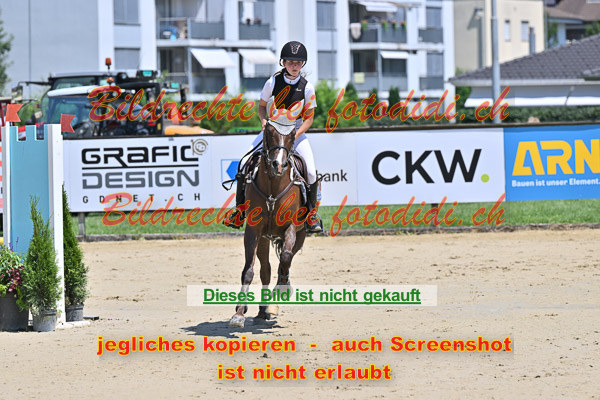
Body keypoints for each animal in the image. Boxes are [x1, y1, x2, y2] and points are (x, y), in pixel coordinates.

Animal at [228, 116, 311, 328]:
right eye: (269, 133)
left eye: (292, 135)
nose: (277, 165)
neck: (274, 186)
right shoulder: (253, 231)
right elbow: (248, 271)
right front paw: (239, 313)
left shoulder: (291, 227)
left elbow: (286, 258)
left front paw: (282, 291)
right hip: (264, 239)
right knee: (265, 269)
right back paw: (262, 310)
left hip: (301, 235)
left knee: (286, 260)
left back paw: (274, 301)